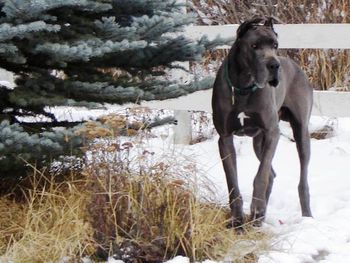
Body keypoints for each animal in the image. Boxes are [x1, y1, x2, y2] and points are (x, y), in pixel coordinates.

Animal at [212, 17, 314, 229]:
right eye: (254, 46)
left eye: (275, 45)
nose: (275, 65)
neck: (243, 87)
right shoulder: (224, 138)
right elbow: (232, 181)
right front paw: (237, 220)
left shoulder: (272, 132)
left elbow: (261, 175)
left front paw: (256, 208)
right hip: (258, 142)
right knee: (272, 174)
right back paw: (259, 218)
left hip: (301, 132)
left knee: (301, 179)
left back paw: (306, 217)